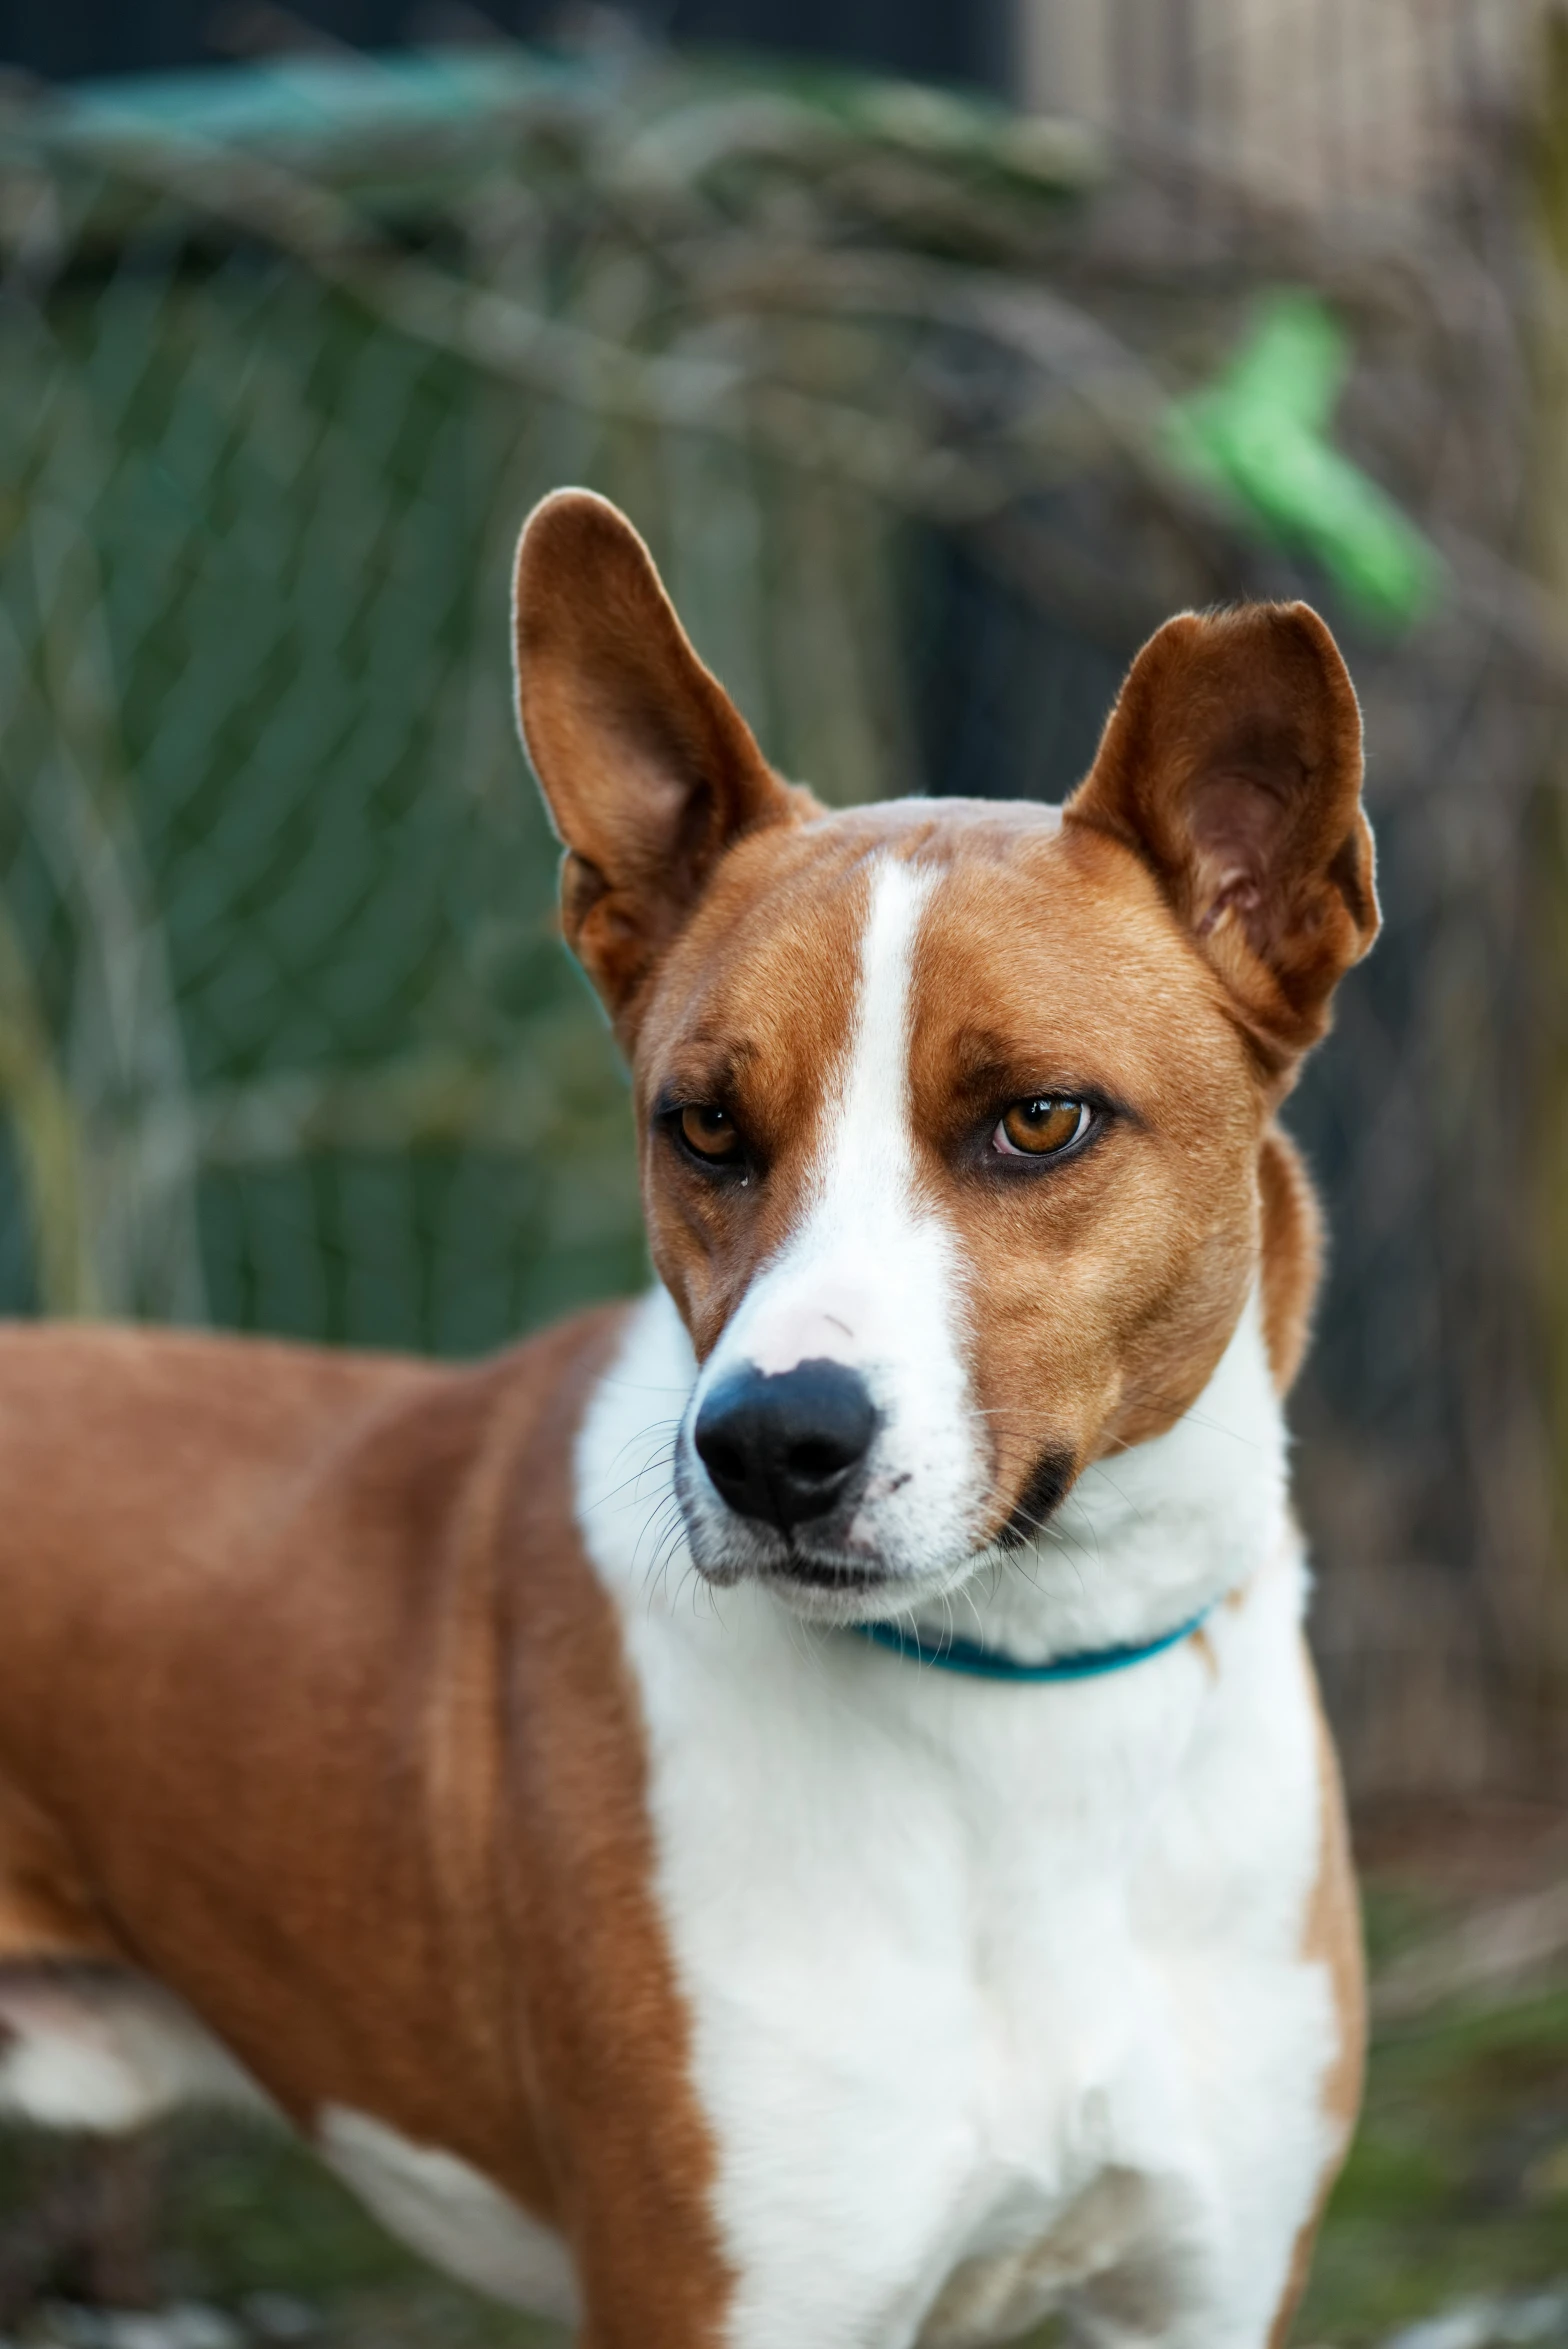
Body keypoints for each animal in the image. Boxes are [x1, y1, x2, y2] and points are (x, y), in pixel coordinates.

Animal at [0, 490, 1370, 2349]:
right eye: (703, 1125)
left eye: (1037, 1119)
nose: (770, 1446)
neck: (1024, 1706)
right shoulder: (716, 2296)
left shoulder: (1203, 2294)